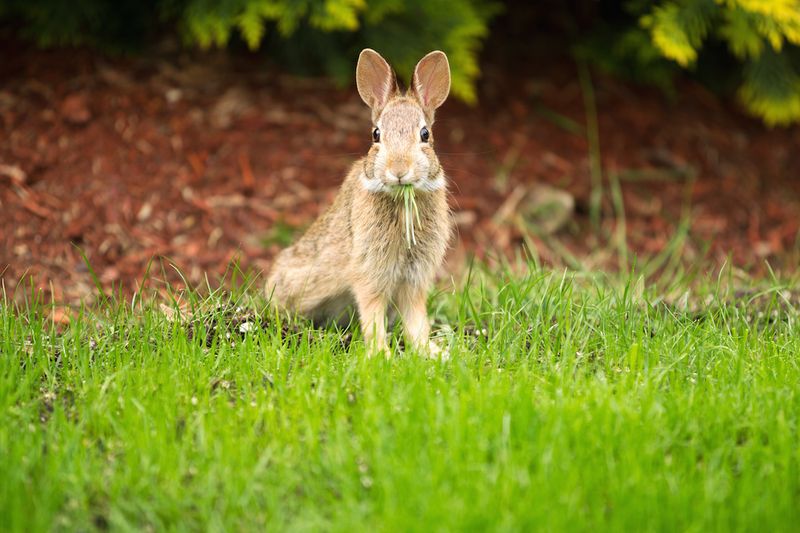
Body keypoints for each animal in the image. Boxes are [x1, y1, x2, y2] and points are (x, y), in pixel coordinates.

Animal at [268, 48, 454, 358]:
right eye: (376, 134)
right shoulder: (370, 273)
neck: (402, 199)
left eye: (425, 134)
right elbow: (372, 314)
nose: (399, 170)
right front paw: (382, 355)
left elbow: (416, 321)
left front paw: (431, 353)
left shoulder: (414, 279)